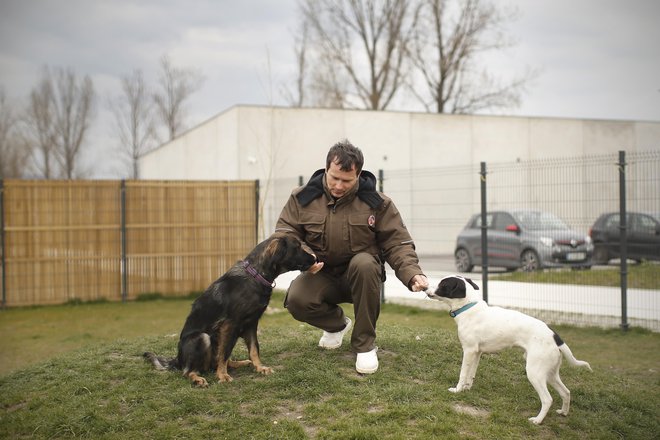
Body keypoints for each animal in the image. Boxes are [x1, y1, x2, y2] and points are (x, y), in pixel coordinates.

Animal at [144, 234, 318, 384]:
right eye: (297, 247)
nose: (315, 258)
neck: (255, 275)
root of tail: (178, 359)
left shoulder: (251, 323)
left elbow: (254, 349)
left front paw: (260, 367)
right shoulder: (230, 324)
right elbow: (224, 353)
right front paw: (222, 376)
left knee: (217, 362)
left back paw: (239, 363)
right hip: (202, 338)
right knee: (189, 371)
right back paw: (198, 378)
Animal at [428, 276, 592, 422]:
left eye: (442, 284)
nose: (425, 288)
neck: (468, 308)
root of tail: (555, 337)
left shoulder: (468, 351)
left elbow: (463, 374)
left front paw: (457, 390)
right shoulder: (477, 353)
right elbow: (471, 374)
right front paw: (466, 389)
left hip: (535, 373)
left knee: (548, 399)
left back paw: (537, 420)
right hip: (550, 373)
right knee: (566, 392)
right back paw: (563, 412)